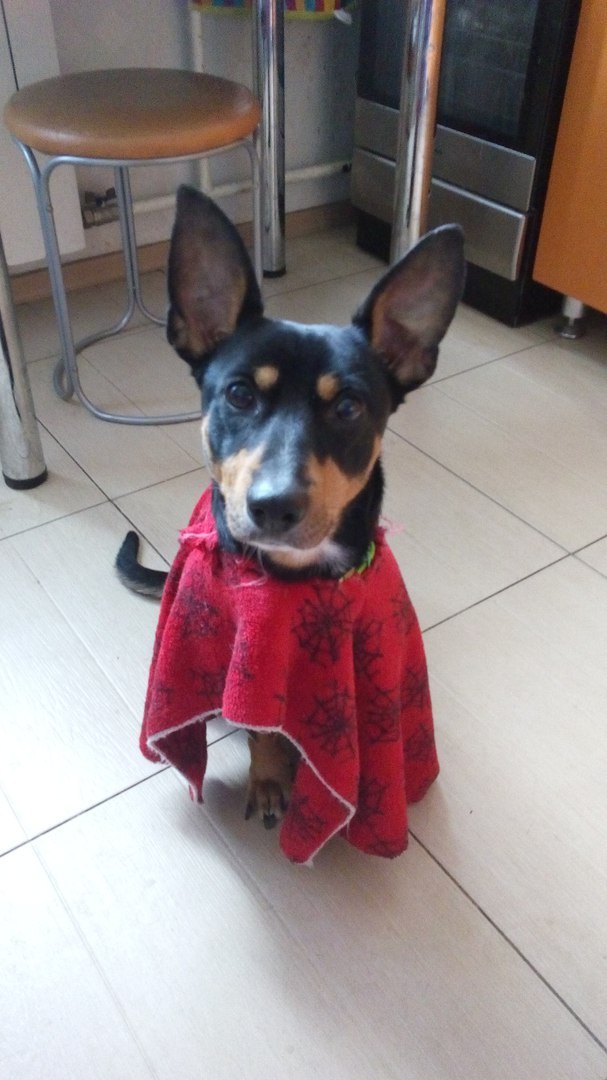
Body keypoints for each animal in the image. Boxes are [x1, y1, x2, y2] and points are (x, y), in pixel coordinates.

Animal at [117, 185, 464, 834]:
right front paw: (273, 780)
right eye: (239, 394)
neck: (296, 580)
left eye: (349, 406)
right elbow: (264, 729)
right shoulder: (252, 663)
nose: (274, 507)